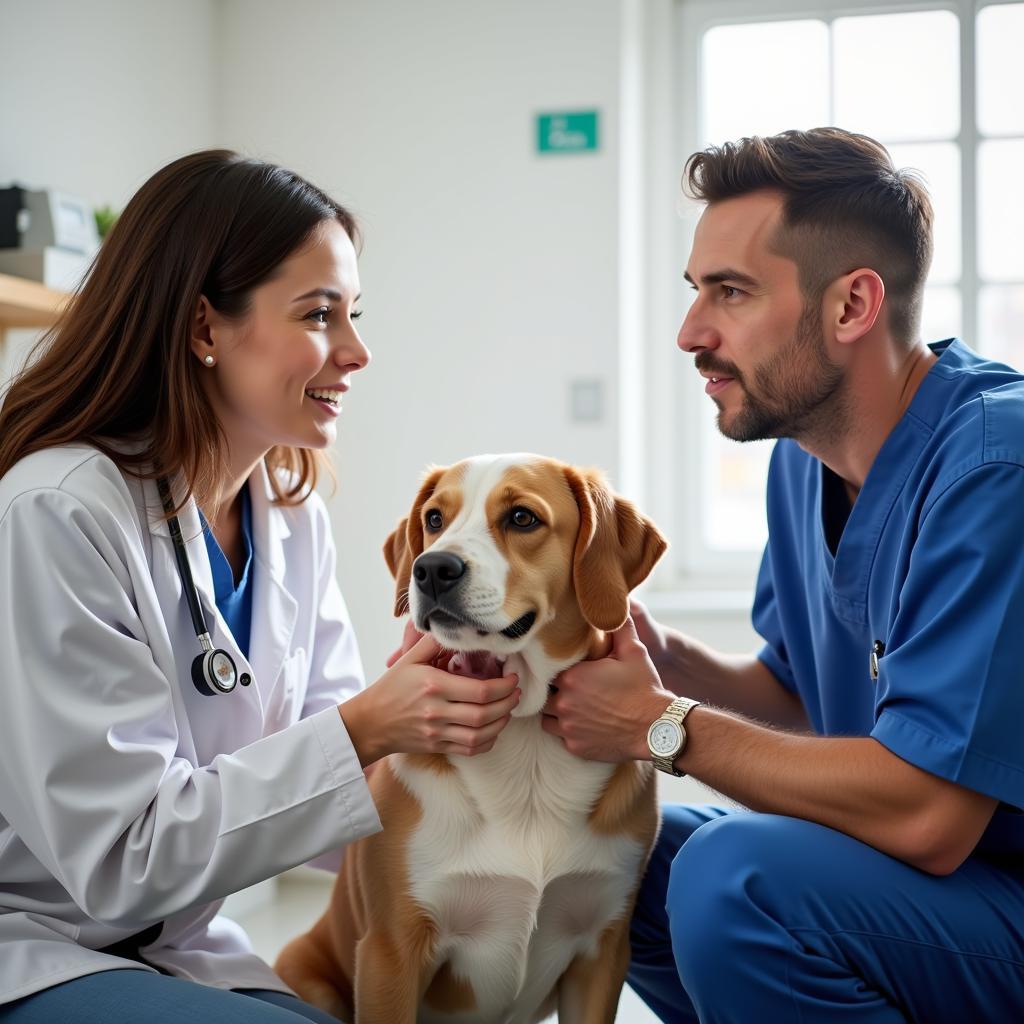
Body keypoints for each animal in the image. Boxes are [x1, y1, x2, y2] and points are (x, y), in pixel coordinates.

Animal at [276, 456, 667, 1024]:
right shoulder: (391, 952)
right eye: (435, 519)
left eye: (523, 518)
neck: (527, 750)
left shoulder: (603, 950)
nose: (432, 569)